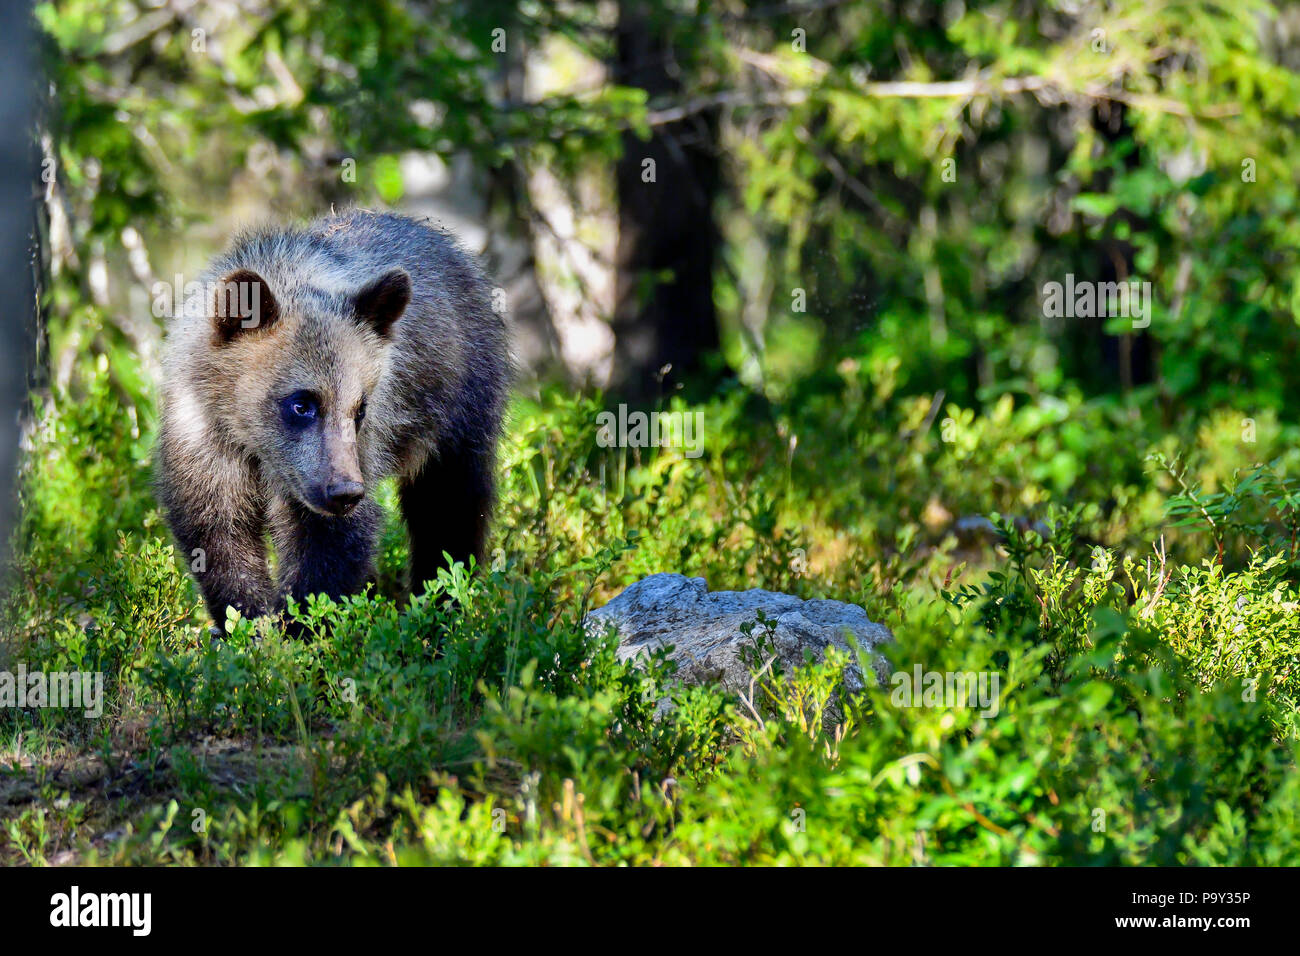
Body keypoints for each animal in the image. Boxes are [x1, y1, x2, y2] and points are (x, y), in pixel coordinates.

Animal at [156, 209, 510, 630]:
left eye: (360, 407)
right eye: (302, 404)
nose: (344, 492)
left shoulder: (359, 448)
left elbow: (329, 551)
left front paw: (303, 630)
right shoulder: (202, 439)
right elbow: (218, 538)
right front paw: (249, 626)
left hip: (458, 405)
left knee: (450, 504)